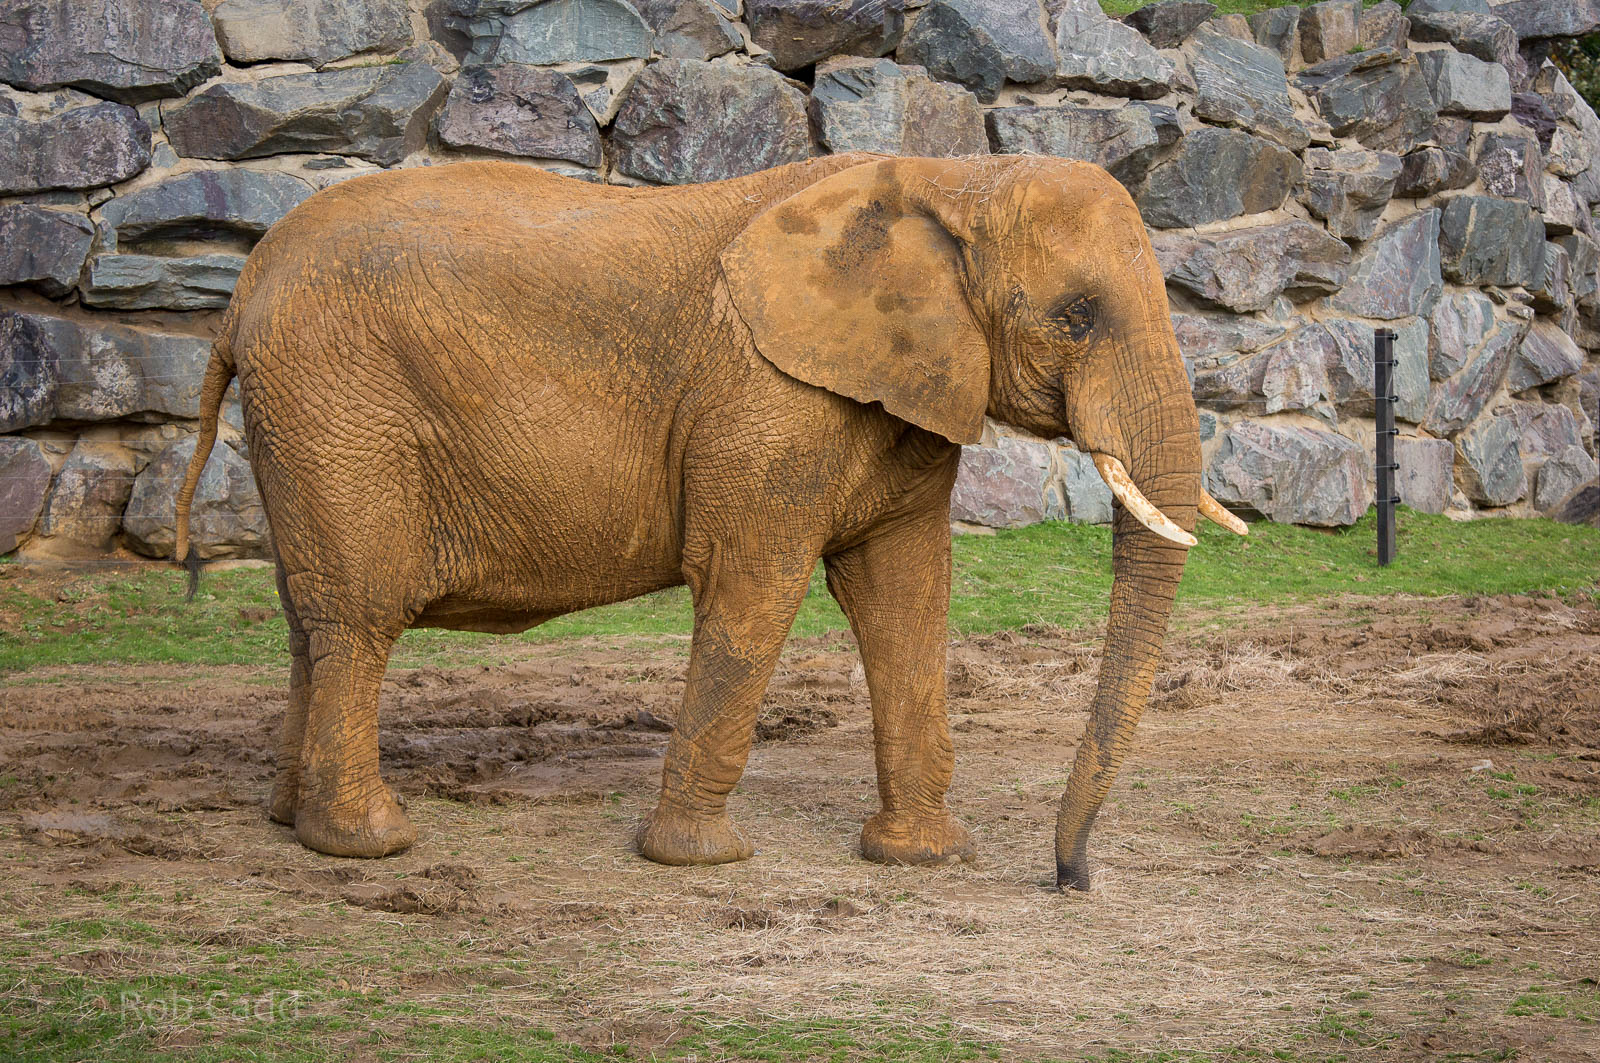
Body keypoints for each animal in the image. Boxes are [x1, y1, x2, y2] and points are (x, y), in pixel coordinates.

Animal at [174, 152, 1246, 889]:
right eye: (1076, 316)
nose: (1070, 879)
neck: (952, 177)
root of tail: (242, 291)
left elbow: (905, 593)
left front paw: (925, 859)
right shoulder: (764, 398)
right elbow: (751, 586)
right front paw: (700, 860)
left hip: (306, 424)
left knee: (309, 620)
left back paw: (289, 822)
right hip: (338, 408)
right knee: (357, 619)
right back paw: (369, 843)